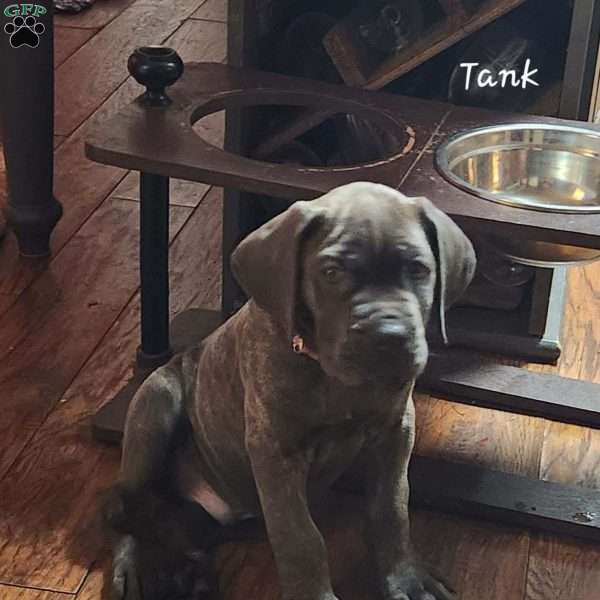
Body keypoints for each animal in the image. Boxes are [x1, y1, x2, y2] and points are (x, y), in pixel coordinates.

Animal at [105, 182, 476, 600]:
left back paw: (189, 573)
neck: (332, 377)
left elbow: (391, 507)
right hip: (155, 406)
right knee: (122, 505)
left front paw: (404, 577)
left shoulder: (396, 429)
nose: (389, 337)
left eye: (418, 269)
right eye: (331, 273)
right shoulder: (274, 449)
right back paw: (131, 567)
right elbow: (300, 537)